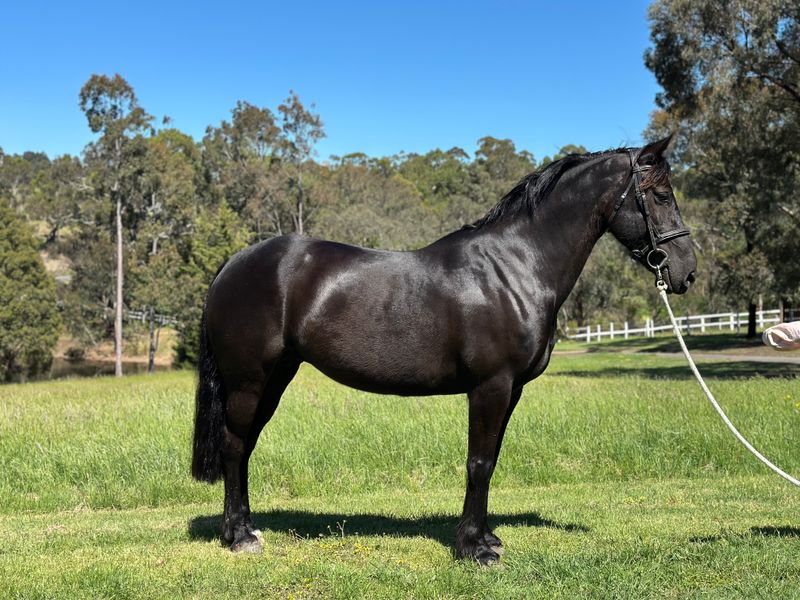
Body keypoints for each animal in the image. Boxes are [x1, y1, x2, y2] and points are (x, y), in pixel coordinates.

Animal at [191, 135, 697, 564]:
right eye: (660, 196)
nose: (686, 272)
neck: (516, 266)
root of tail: (233, 264)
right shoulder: (490, 387)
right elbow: (479, 462)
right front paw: (474, 549)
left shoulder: (511, 391)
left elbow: (491, 461)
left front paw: (487, 536)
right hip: (250, 380)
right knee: (234, 446)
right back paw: (239, 538)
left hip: (275, 378)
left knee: (245, 447)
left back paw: (246, 528)